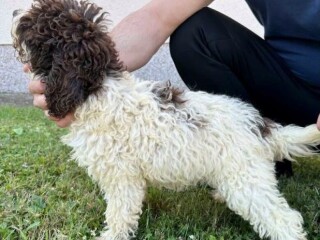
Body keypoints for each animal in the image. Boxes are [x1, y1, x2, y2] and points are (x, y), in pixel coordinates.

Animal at [11, 0, 320, 240]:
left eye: (35, 24)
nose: (14, 12)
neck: (98, 87)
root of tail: (260, 125)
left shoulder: (122, 176)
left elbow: (120, 212)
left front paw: (112, 235)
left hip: (245, 178)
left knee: (283, 218)